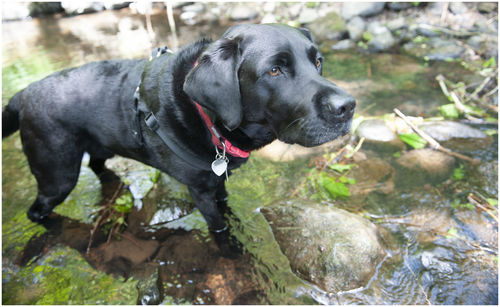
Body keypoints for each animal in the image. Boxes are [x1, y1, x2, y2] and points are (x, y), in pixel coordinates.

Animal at [1, 24, 354, 254]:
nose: (348, 106)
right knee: (37, 211)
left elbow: (226, 206)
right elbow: (218, 226)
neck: (207, 117)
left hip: (97, 149)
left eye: (318, 62)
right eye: (275, 70)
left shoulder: (217, 182)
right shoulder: (199, 190)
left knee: (98, 167)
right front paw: (232, 251)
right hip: (57, 174)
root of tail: (22, 95)